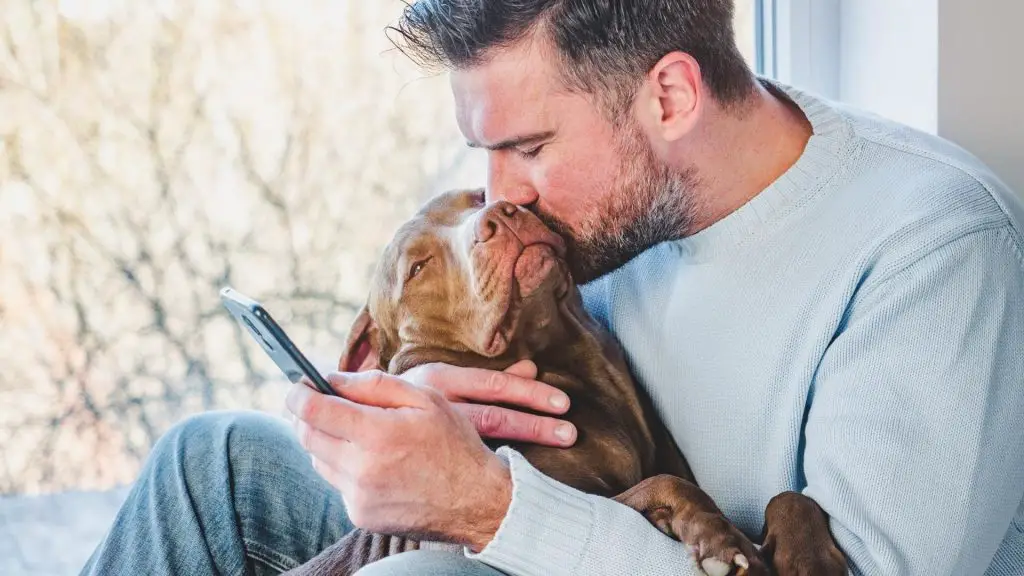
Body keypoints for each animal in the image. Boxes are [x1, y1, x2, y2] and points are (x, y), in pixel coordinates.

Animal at [282, 189, 847, 573]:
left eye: (477, 195)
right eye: (417, 267)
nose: (499, 214)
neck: (577, 361)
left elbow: (790, 497)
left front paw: (811, 559)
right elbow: (663, 484)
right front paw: (719, 540)